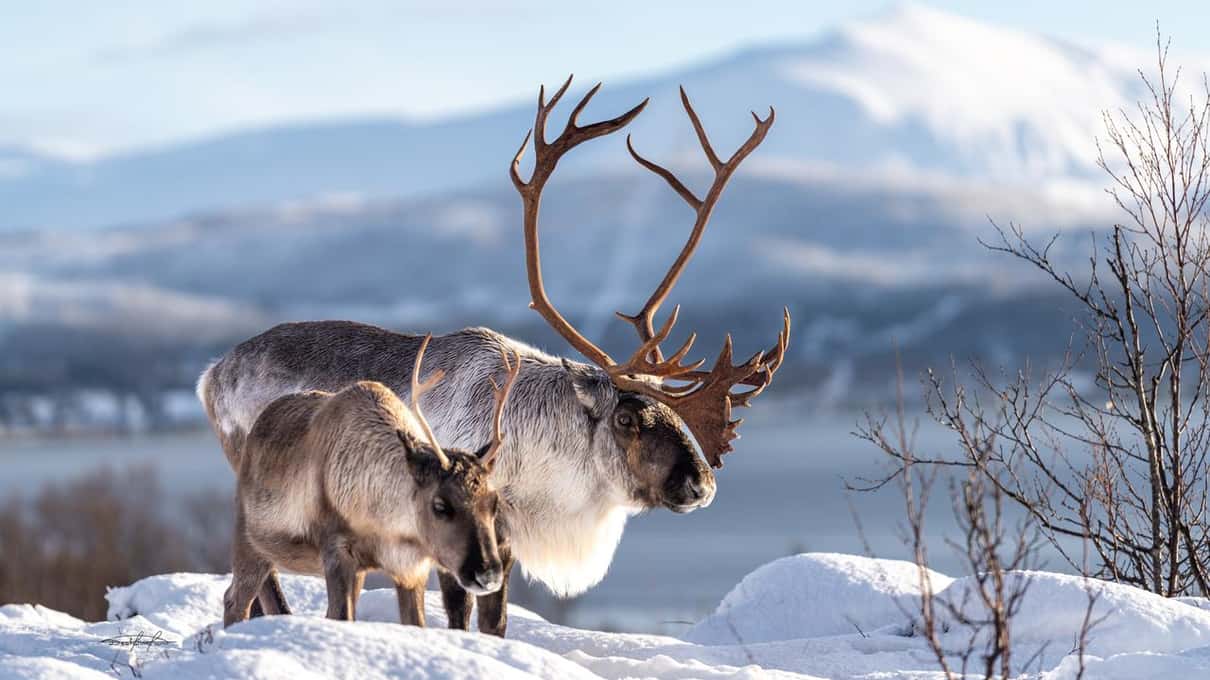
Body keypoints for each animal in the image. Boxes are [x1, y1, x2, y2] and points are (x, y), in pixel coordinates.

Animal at [222, 335, 520, 629]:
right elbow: (341, 616)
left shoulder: (410, 570)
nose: (487, 573)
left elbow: (415, 622)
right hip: (250, 541)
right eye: (440, 505)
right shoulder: (337, 553)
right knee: (234, 600)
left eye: (494, 503)